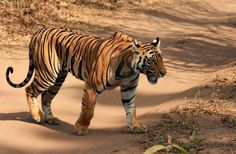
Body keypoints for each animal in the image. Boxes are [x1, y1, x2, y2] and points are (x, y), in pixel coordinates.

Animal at [6, 27, 167, 135]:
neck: (129, 68)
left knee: (46, 97)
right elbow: (88, 110)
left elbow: (131, 108)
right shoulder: (91, 86)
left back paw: (50, 118)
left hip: (58, 79)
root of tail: (39, 31)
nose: (164, 73)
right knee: (30, 89)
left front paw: (135, 127)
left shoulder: (129, 88)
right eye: (152, 61)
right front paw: (81, 128)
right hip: (48, 74)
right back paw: (36, 115)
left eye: (161, 59)